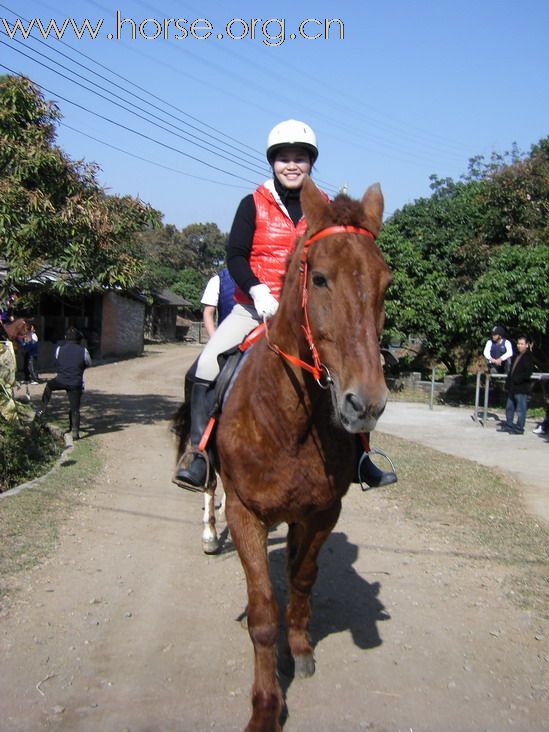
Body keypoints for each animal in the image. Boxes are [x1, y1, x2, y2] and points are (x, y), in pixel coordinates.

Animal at [176, 179, 390, 732]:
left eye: (385, 282)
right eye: (320, 278)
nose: (366, 403)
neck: (290, 417)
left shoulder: (322, 512)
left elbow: (302, 579)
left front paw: (300, 648)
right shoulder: (247, 514)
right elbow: (262, 613)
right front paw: (266, 708)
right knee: (207, 488)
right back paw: (208, 532)